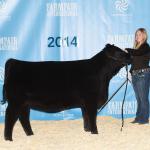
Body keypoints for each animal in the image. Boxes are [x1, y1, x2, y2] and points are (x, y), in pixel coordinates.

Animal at [0, 43, 130, 141]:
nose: (130, 56)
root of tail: (14, 62)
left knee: (23, 117)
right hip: (15, 102)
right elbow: (92, 117)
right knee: (10, 117)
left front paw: (87, 131)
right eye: (119, 52)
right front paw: (95, 133)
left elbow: (86, 117)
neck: (102, 76)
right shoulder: (91, 100)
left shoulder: (84, 104)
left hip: (24, 103)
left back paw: (30, 134)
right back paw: (8, 139)